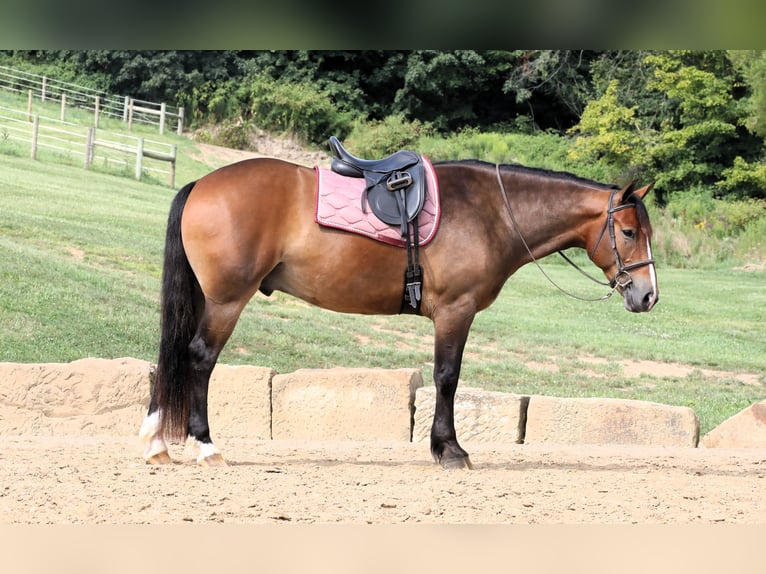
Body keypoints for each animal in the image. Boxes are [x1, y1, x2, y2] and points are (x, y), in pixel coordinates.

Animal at [140, 155, 660, 470]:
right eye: (629, 232)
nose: (648, 297)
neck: (490, 211)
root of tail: (202, 183)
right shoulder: (455, 311)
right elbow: (447, 377)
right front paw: (449, 449)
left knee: (172, 355)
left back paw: (157, 442)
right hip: (227, 301)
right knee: (199, 358)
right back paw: (206, 447)